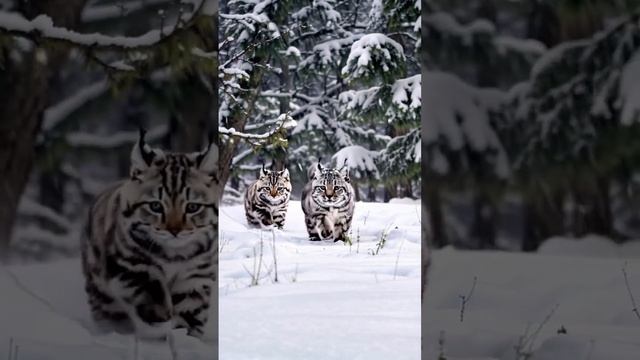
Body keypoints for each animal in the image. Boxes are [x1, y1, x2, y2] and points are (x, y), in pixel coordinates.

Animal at [81, 130, 218, 340]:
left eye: (192, 207)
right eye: (155, 206)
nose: (175, 231)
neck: (174, 254)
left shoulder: (196, 276)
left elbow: (190, 311)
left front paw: (185, 336)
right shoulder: (129, 263)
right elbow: (150, 286)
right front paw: (161, 316)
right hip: (101, 291)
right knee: (110, 314)